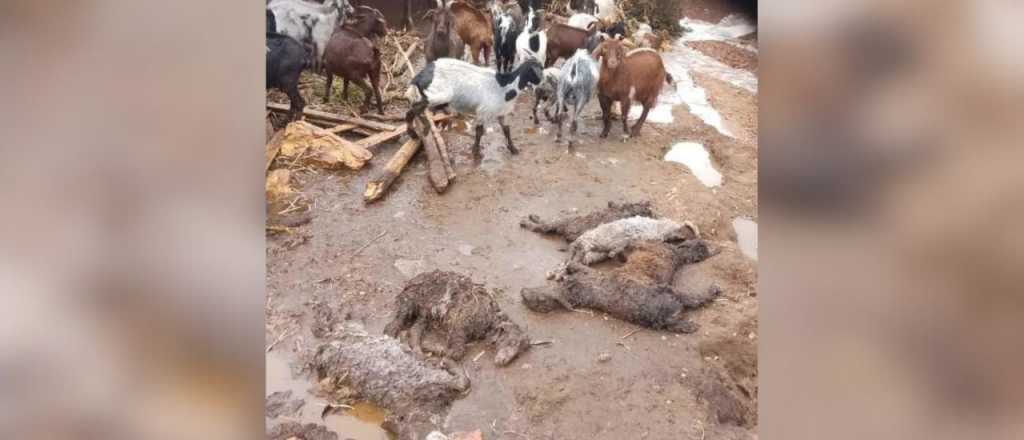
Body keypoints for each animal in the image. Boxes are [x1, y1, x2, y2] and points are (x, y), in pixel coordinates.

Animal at [403, 58, 544, 158]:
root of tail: (420, 75)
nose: (542, 84)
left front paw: (513, 149)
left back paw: (419, 129)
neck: (505, 87)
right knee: (414, 107)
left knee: (418, 106)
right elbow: (479, 131)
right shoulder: (483, 112)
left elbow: (506, 129)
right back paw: (418, 129)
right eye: (538, 71)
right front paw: (475, 152)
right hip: (440, 94)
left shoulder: (501, 113)